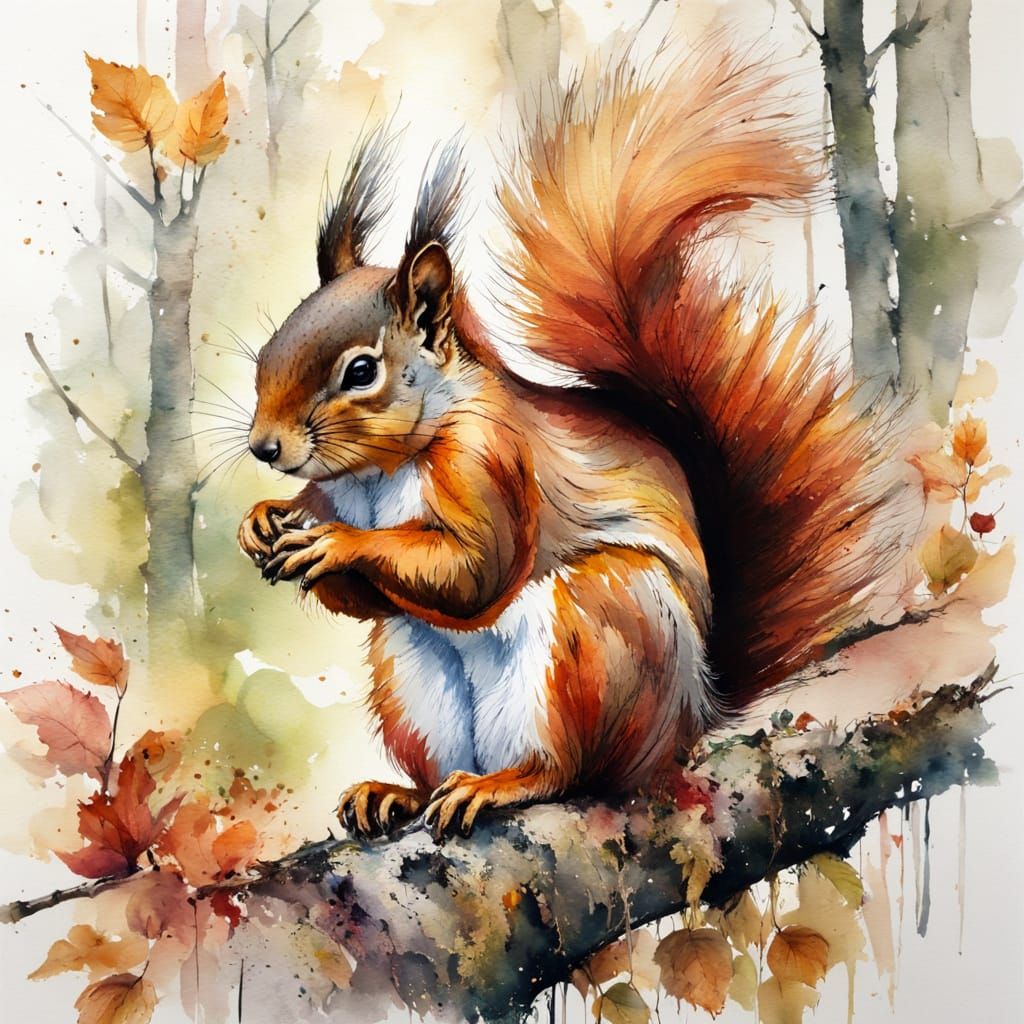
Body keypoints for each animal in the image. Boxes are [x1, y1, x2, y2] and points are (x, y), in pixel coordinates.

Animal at [238, 48, 899, 840]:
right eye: (268, 350)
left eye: (361, 371)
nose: (264, 448)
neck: (377, 474)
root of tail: (692, 717)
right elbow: (365, 597)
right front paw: (262, 523)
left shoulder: (492, 462)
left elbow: (476, 571)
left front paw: (336, 542)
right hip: (411, 683)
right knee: (433, 765)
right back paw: (396, 793)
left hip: (602, 630)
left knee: (574, 771)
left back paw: (504, 785)